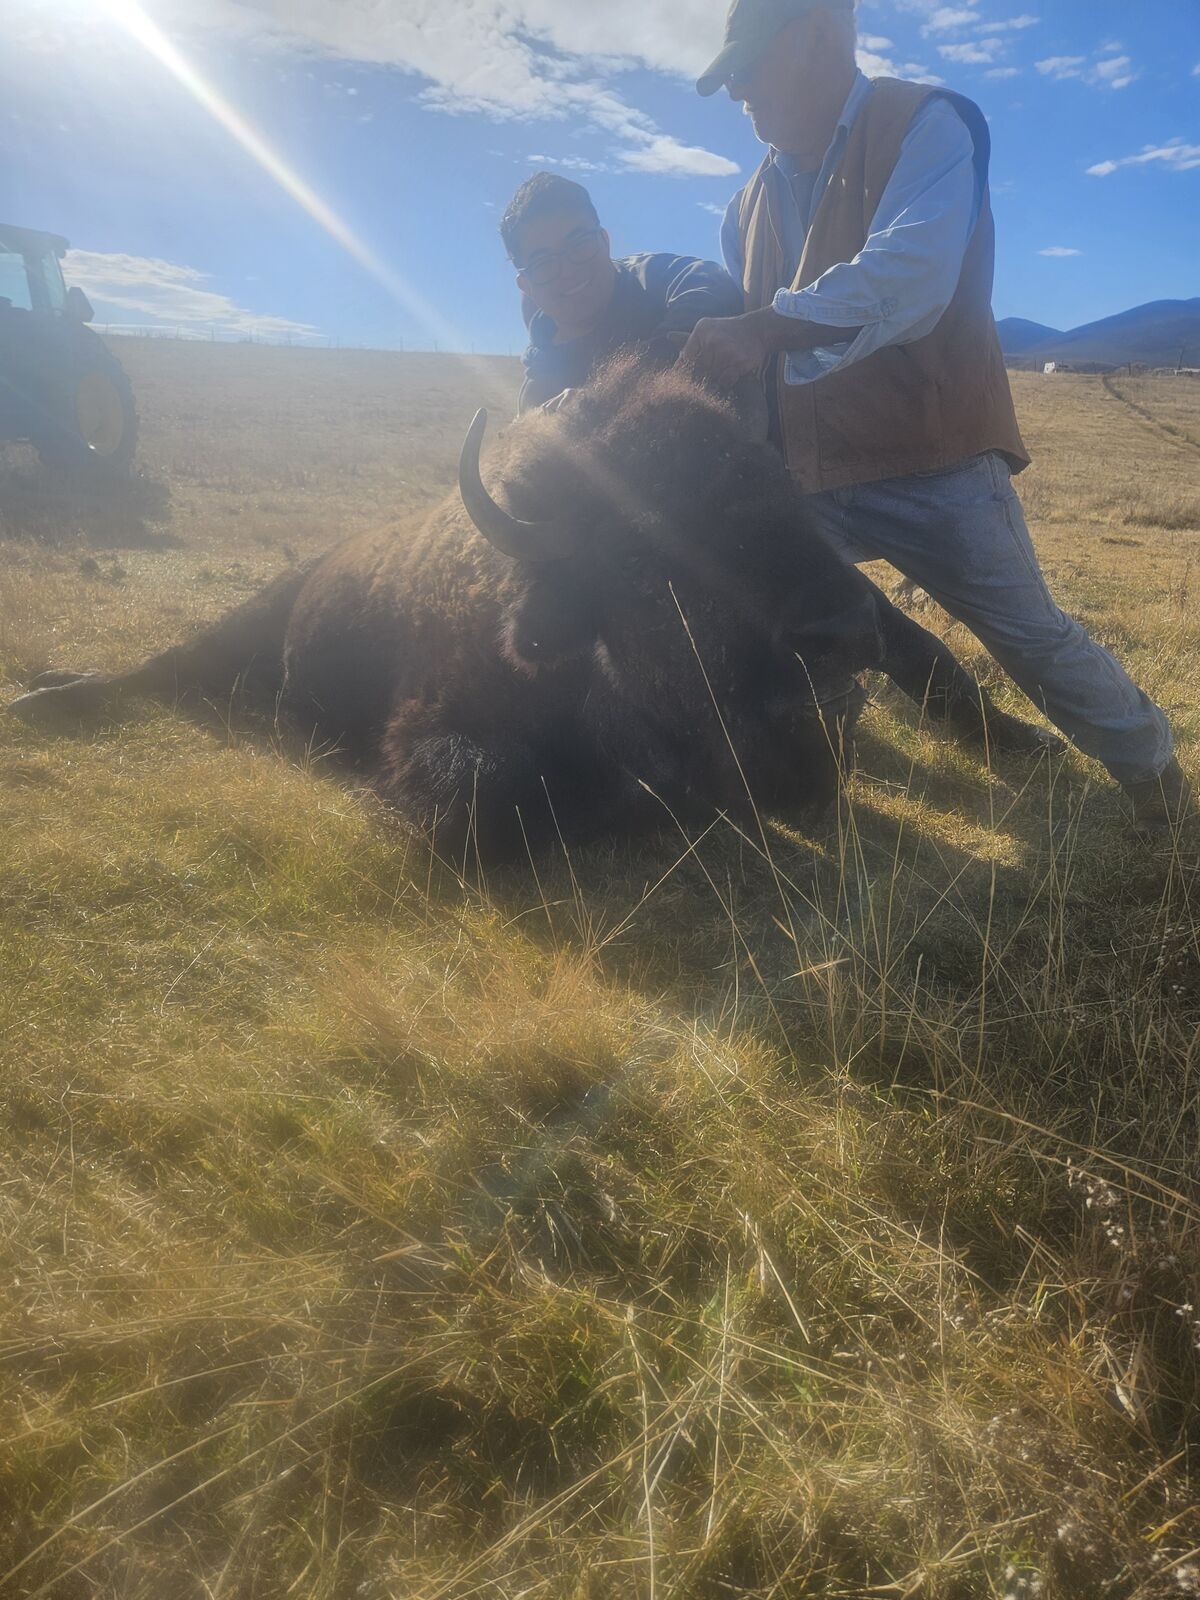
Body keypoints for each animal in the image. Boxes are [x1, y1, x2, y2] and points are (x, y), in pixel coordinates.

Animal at [9, 353, 891, 862]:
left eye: (783, 490)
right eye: (644, 553)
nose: (848, 630)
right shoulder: (432, 728)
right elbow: (487, 791)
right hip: (241, 626)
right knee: (159, 671)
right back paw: (46, 696)